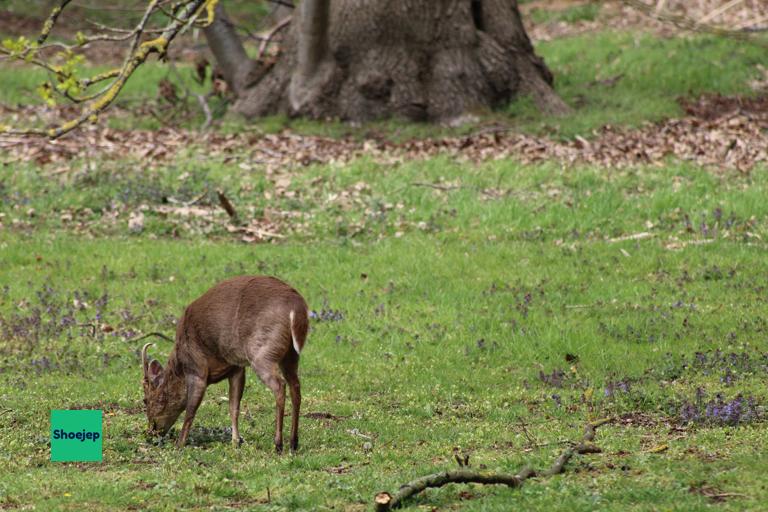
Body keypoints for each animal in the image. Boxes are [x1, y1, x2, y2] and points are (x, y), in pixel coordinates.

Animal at [140, 276, 308, 452]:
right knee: (295, 387)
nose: (151, 431)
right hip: (291, 355)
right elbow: (233, 407)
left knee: (280, 386)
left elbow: (191, 409)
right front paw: (236, 442)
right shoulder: (236, 367)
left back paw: (278, 444)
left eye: (145, 400)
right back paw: (293, 442)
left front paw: (179, 444)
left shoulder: (197, 368)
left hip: (263, 352)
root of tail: (296, 307)